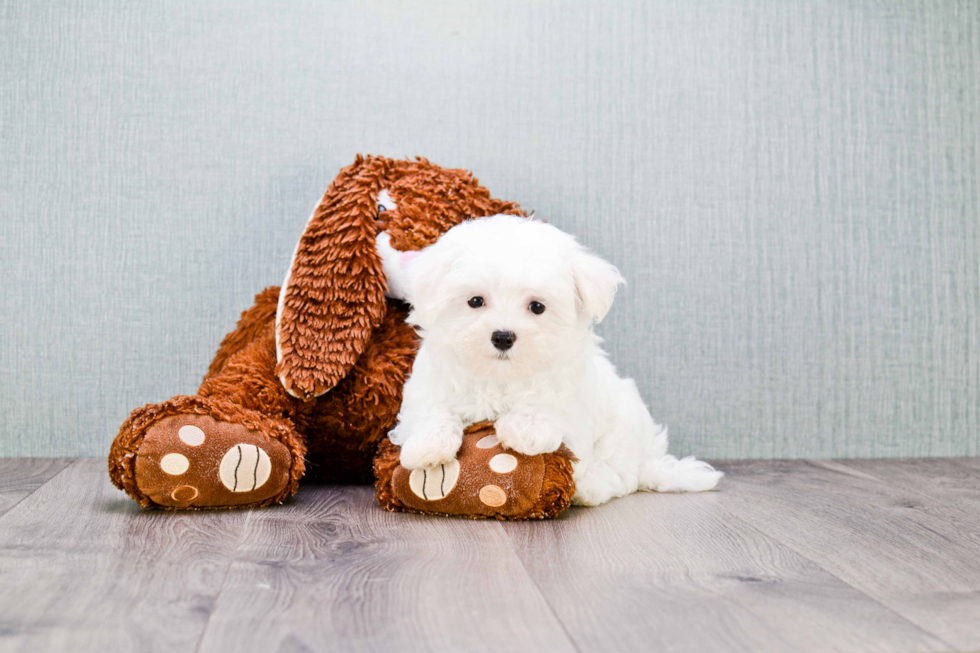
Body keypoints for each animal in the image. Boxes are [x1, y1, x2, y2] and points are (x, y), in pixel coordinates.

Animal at [376, 214, 720, 504]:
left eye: (537, 307)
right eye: (475, 301)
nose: (503, 336)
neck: (499, 376)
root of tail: (648, 459)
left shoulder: (571, 399)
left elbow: (547, 408)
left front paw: (525, 429)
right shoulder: (429, 384)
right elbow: (431, 410)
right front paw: (427, 446)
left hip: (623, 428)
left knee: (618, 475)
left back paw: (588, 488)